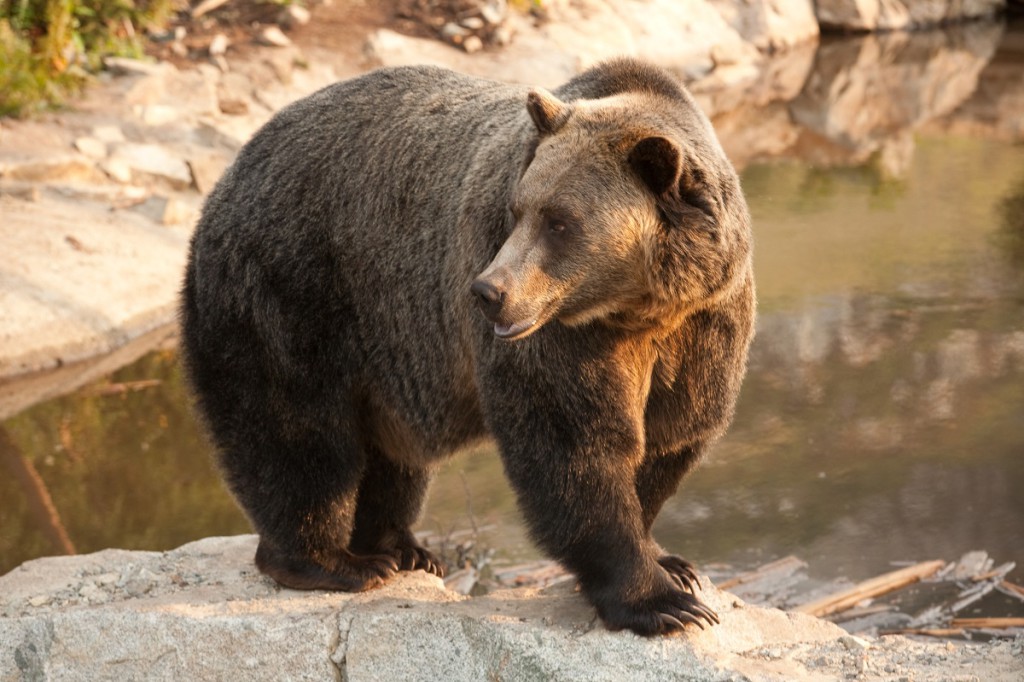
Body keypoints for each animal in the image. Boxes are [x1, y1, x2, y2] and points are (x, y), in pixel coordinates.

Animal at [180, 57, 753, 630]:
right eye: (519, 210)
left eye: (560, 221)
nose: (489, 292)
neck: (638, 309)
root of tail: (232, 171)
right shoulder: (562, 336)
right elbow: (574, 441)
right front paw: (661, 603)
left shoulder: (705, 326)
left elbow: (671, 436)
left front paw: (670, 562)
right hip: (294, 294)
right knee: (297, 436)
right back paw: (335, 562)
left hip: (379, 350)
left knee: (389, 455)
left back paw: (402, 547)